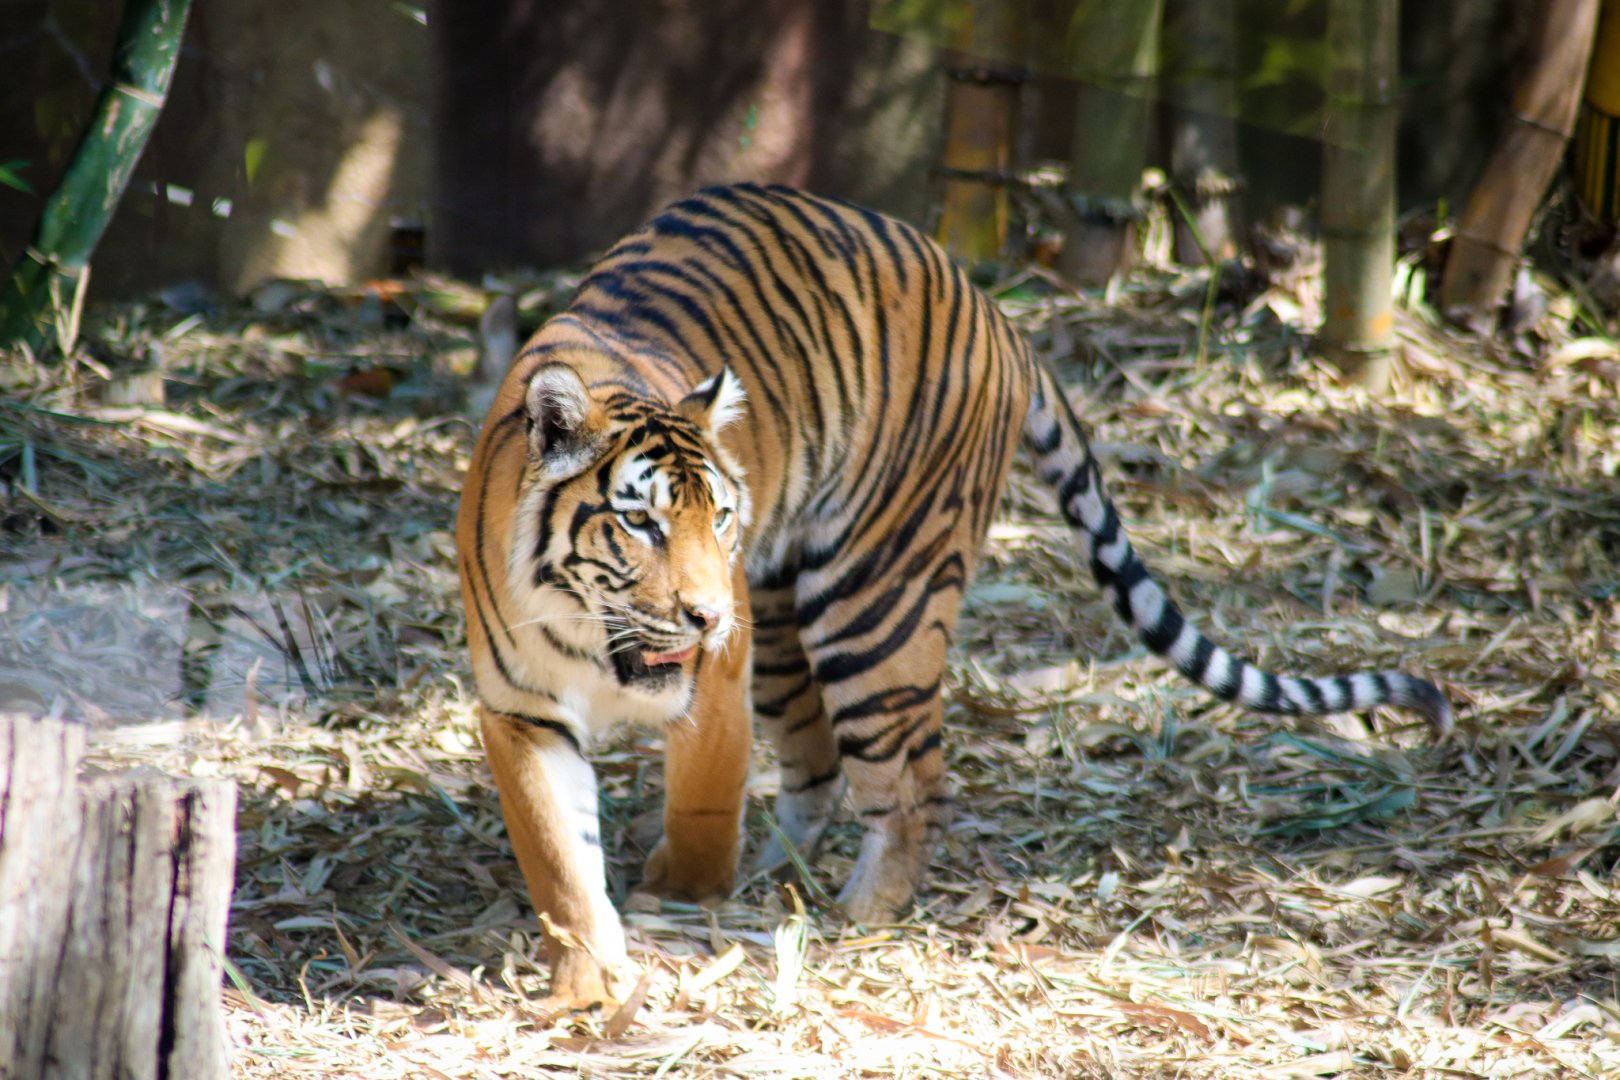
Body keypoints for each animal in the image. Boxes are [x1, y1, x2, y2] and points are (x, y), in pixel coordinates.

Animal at [456, 182, 1451, 1007]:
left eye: (721, 516)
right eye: (642, 523)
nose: (705, 614)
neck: (591, 632)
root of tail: (994, 308)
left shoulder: (714, 682)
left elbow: (701, 803)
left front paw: (681, 899)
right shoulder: (520, 711)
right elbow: (558, 860)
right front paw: (586, 983)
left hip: (870, 603)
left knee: (916, 784)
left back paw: (857, 914)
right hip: (782, 619)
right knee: (819, 765)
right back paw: (784, 874)